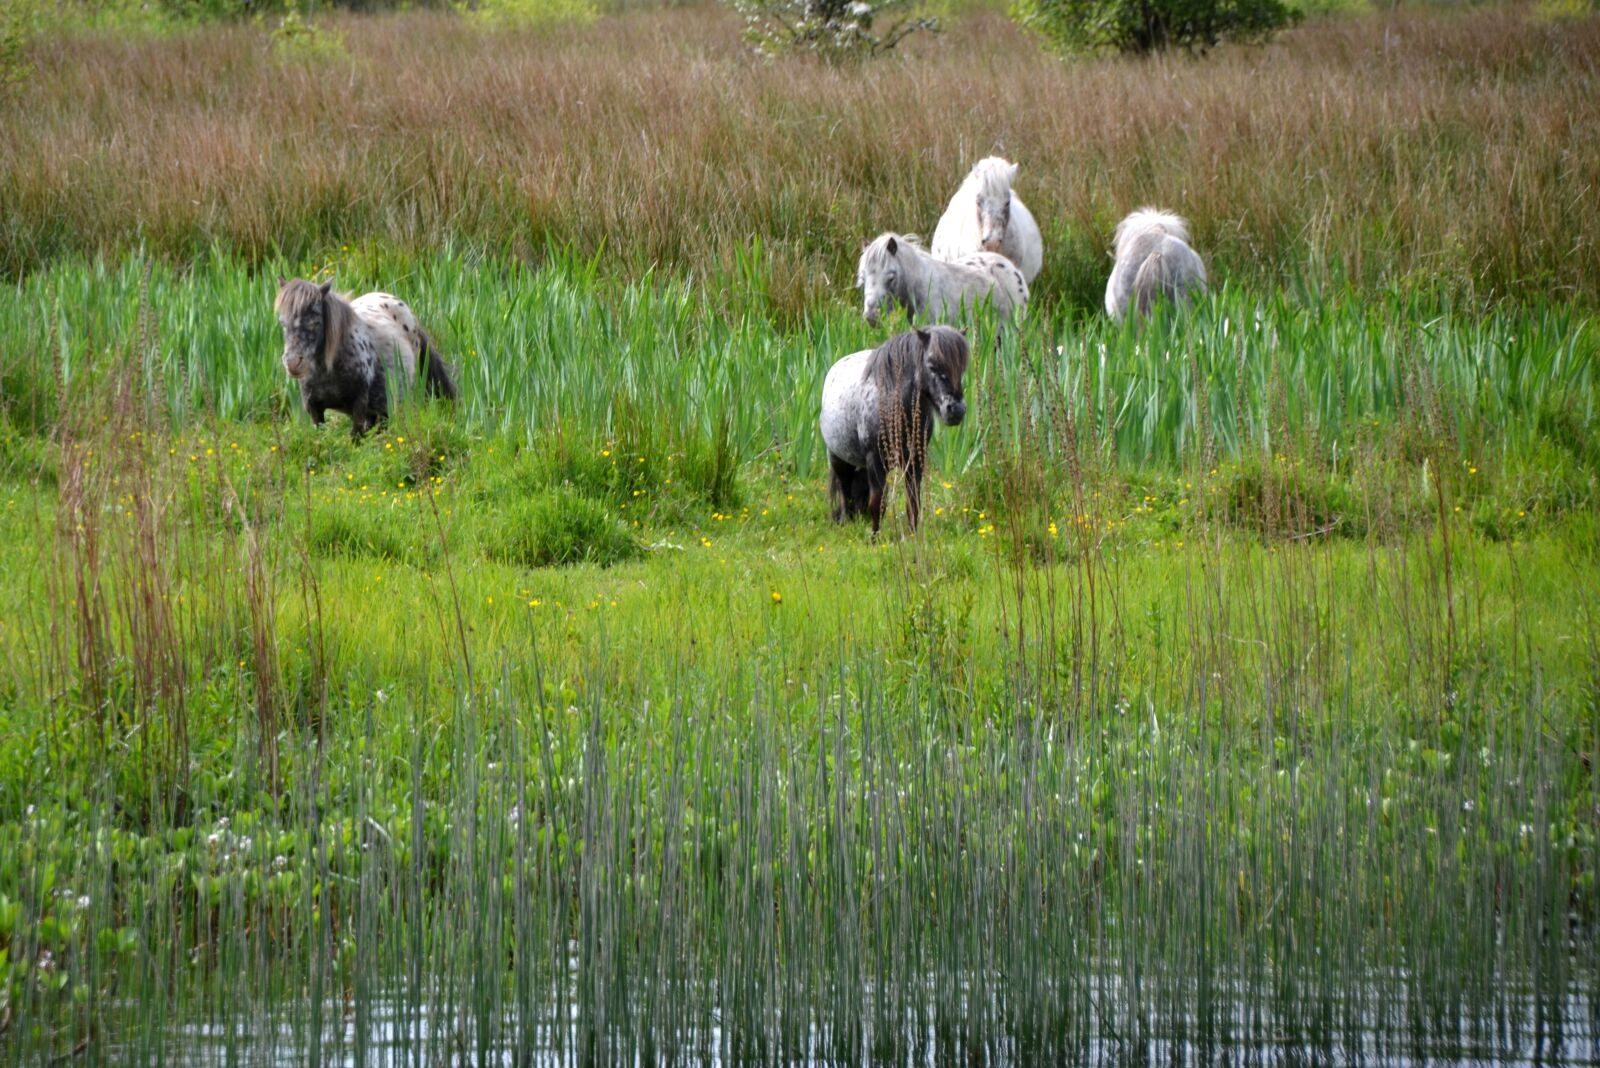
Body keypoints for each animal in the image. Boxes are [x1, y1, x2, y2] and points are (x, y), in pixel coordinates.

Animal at [274, 278, 458, 438]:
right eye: (283, 323)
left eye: (315, 323)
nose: (293, 363)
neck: (328, 372)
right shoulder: (314, 409)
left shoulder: (359, 405)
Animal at [819, 325, 970, 534]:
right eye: (932, 365)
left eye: (962, 367)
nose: (956, 410)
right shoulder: (875, 461)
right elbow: (878, 504)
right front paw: (875, 538)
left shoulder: (915, 461)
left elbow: (913, 503)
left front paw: (914, 536)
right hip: (838, 459)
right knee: (844, 490)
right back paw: (844, 520)